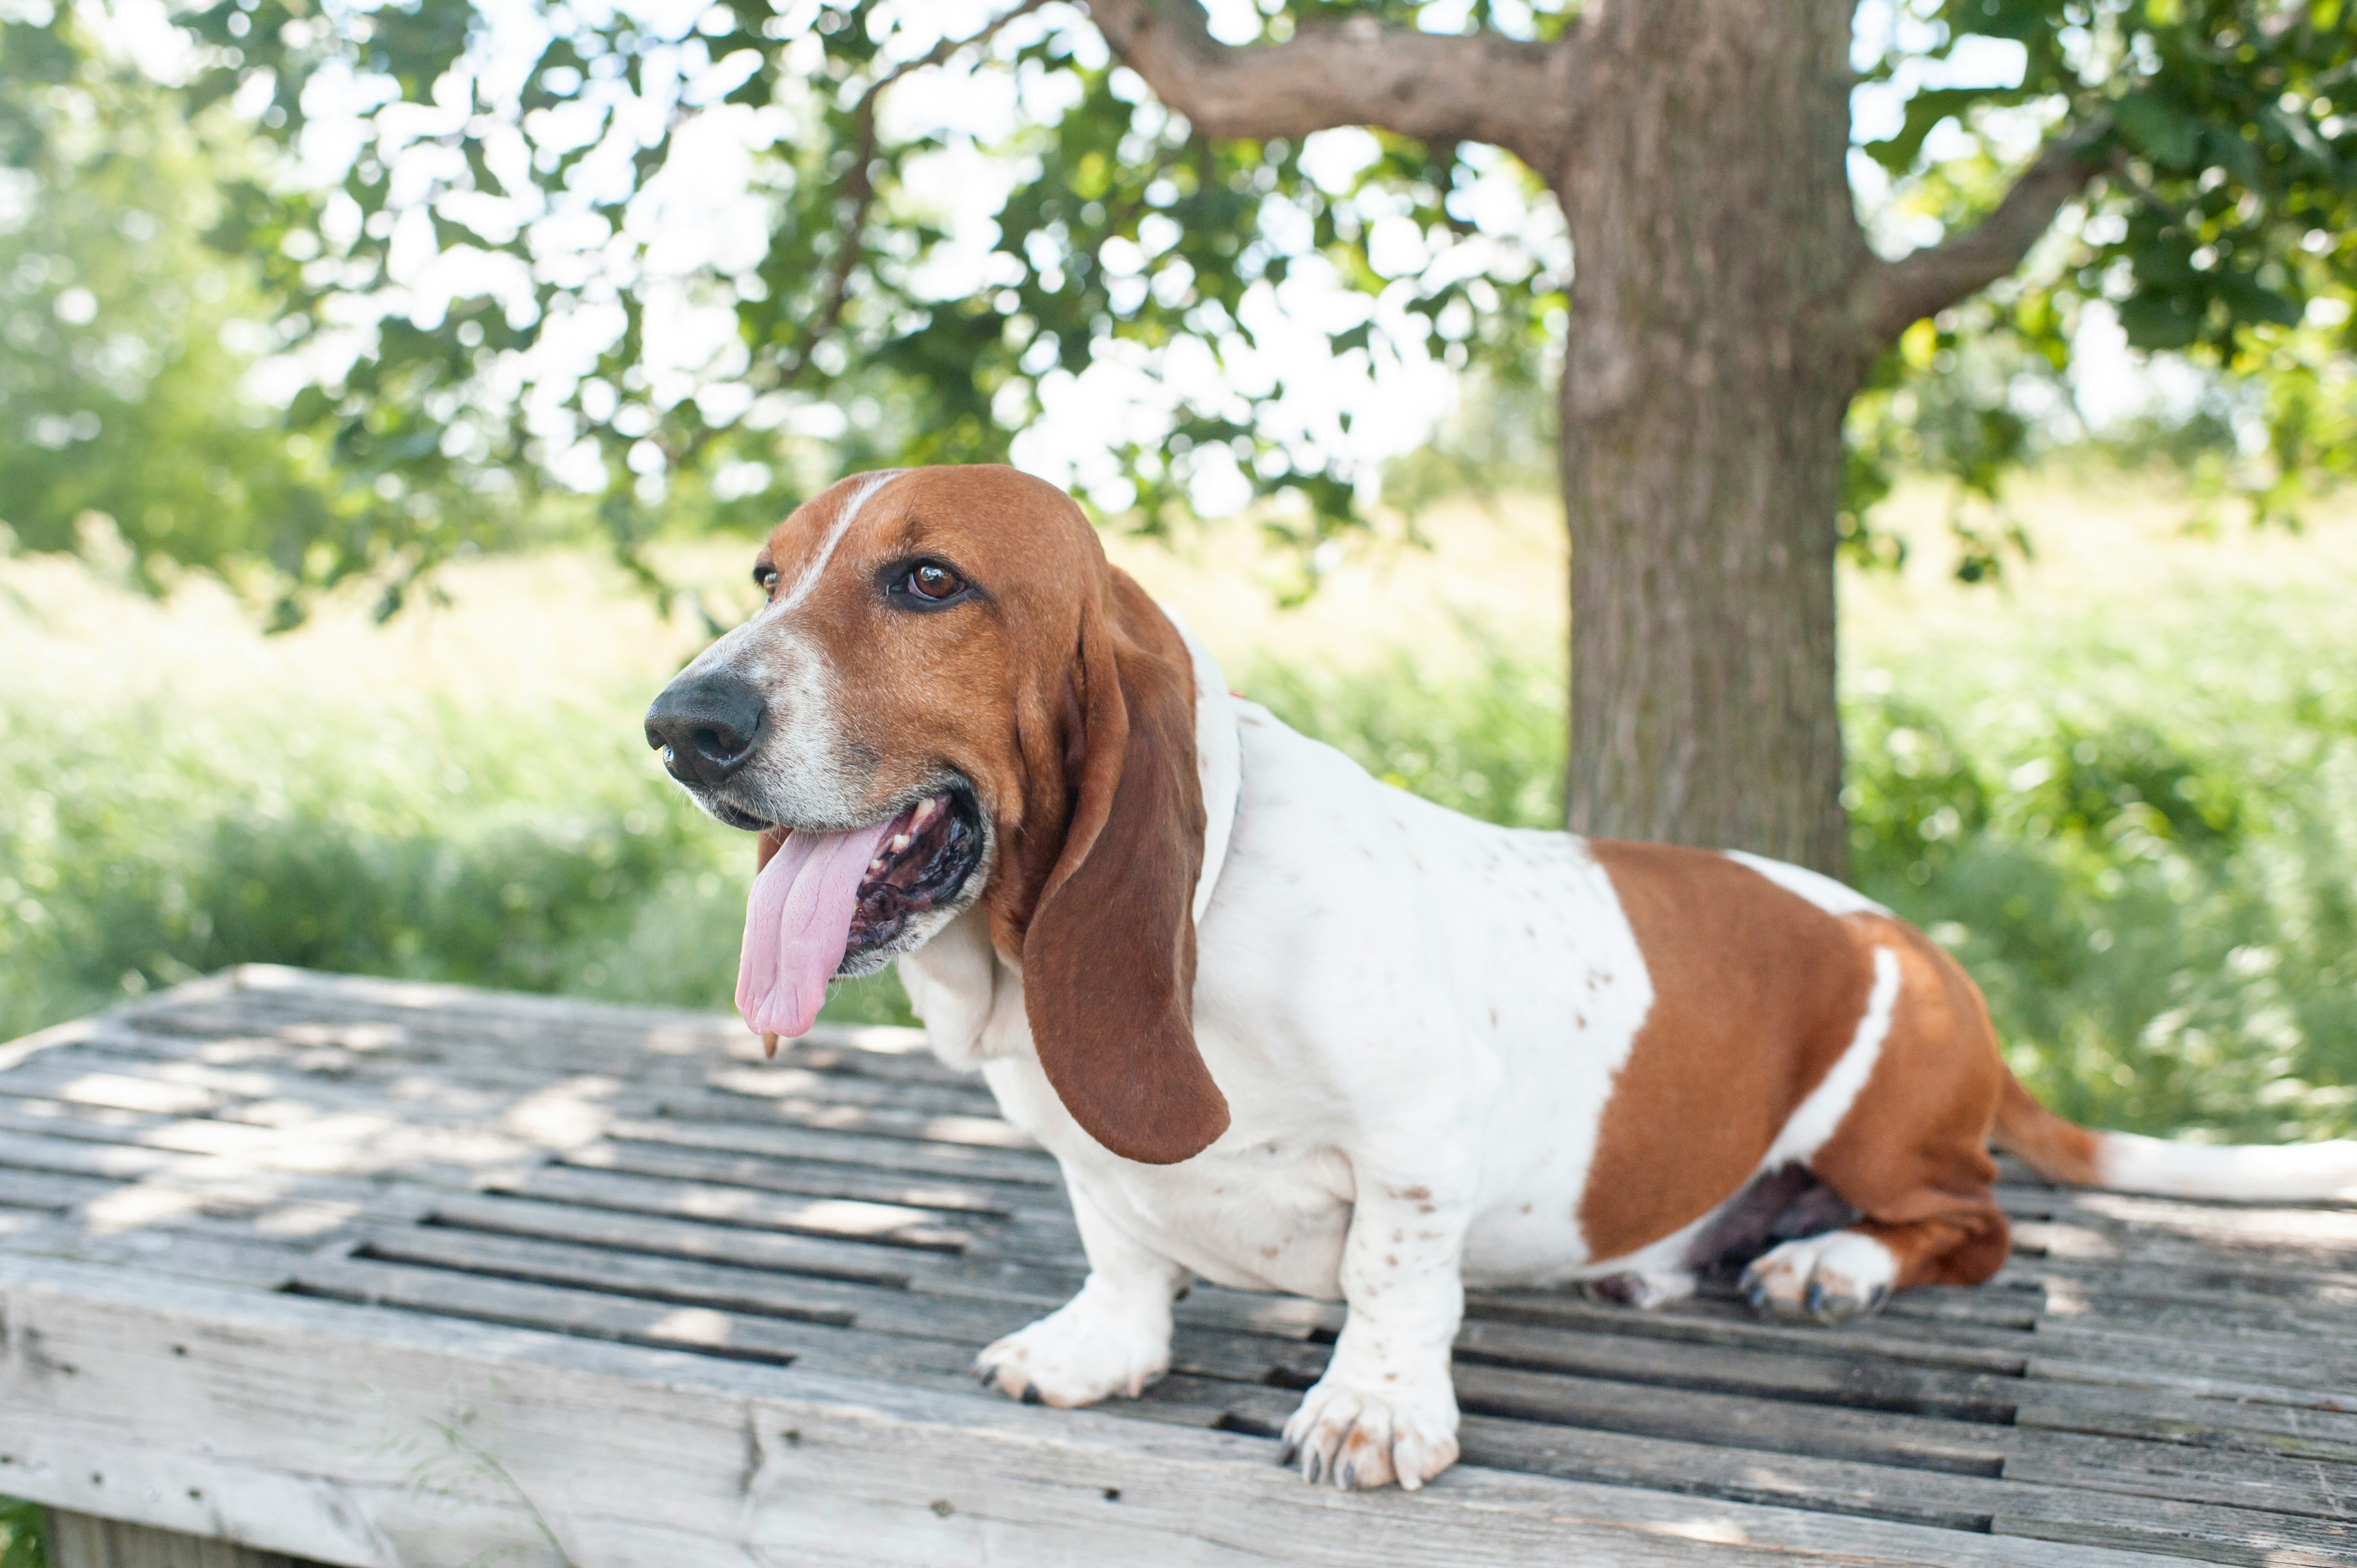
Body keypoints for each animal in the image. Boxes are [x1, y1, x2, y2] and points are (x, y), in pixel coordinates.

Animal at [646, 464, 2357, 1490]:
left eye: (928, 582)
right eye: (766, 571)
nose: (679, 724)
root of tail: (1922, 951)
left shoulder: (1415, 1141)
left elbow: (1393, 1280)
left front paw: (1371, 1411)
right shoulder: (1088, 1159)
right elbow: (1120, 1244)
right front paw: (1096, 1348)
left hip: (1886, 1108)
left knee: (1973, 1224)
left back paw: (1827, 1262)